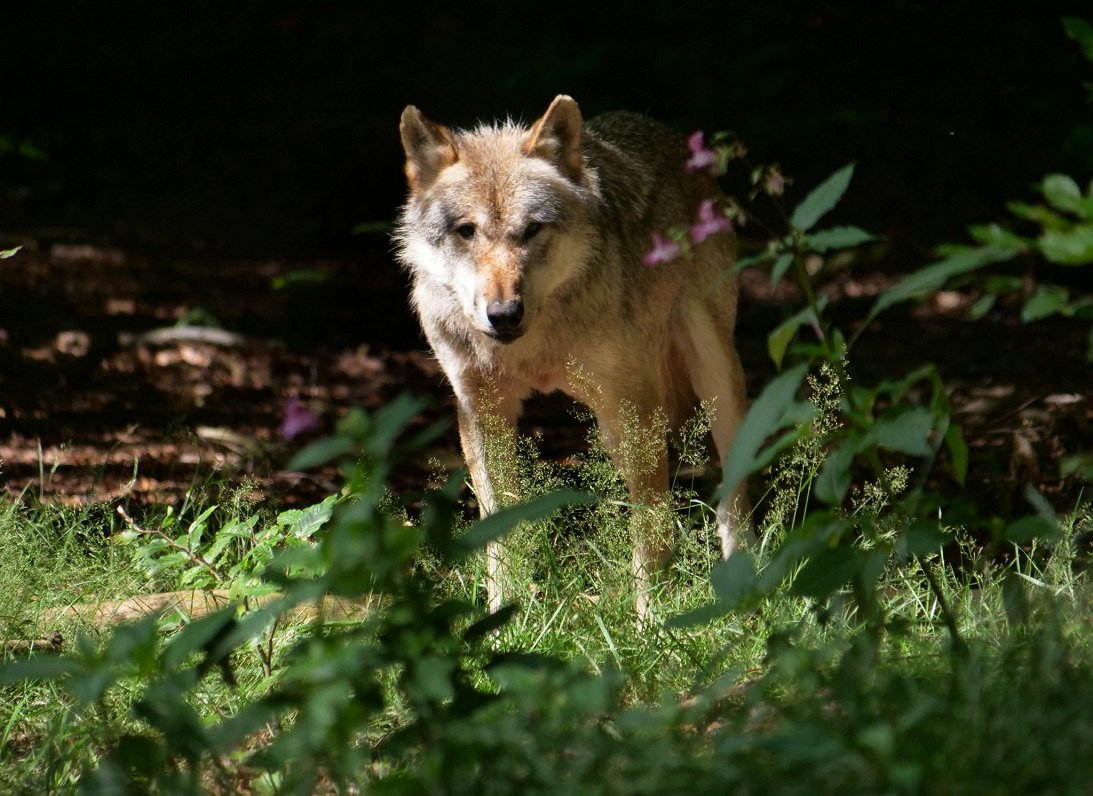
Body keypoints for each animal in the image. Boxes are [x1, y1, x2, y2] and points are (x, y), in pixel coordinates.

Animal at [395, 91, 751, 616]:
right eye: (466, 231)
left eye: (532, 230)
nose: (504, 314)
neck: (534, 346)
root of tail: (664, 133)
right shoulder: (482, 412)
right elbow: (500, 533)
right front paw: (504, 614)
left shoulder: (632, 407)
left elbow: (650, 535)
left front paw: (650, 623)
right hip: (618, 431)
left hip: (704, 381)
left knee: (732, 493)